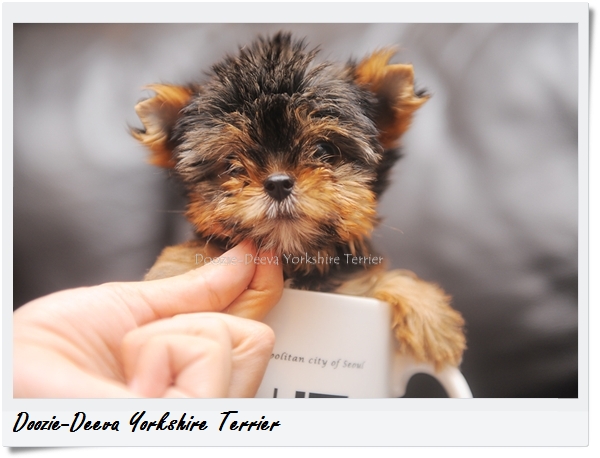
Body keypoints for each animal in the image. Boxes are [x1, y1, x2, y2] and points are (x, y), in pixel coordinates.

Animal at [132, 32, 465, 369]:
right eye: (232, 164)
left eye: (323, 149)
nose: (278, 183)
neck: (293, 260)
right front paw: (174, 276)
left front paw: (427, 312)